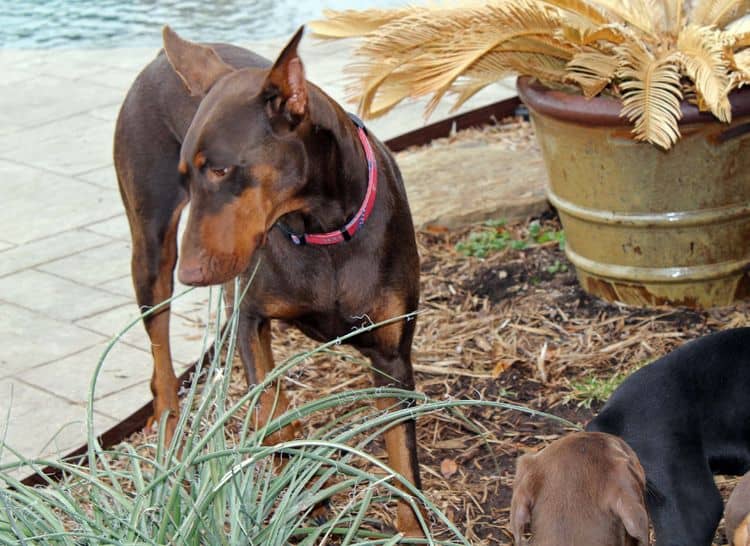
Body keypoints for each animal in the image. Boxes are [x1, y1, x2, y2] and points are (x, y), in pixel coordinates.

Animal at [115, 27, 426, 532]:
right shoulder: (251, 317)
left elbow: (404, 463)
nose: (191, 274)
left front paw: (413, 529)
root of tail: (158, 61)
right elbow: (273, 408)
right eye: (187, 176)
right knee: (161, 356)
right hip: (152, 250)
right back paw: (170, 435)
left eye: (221, 169)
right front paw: (304, 487)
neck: (322, 230)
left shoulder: (391, 356)